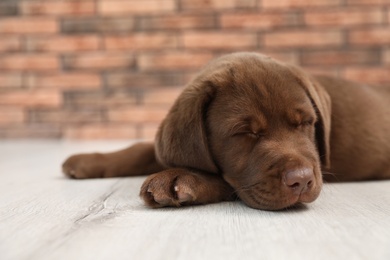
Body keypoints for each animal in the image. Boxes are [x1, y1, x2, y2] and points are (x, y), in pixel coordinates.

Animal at [61, 51, 390, 210]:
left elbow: (226, 181)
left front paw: (178, 179)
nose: (301, 180)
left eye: (306, 123)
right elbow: (142, 148)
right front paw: (89, 161)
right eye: (245, 133)